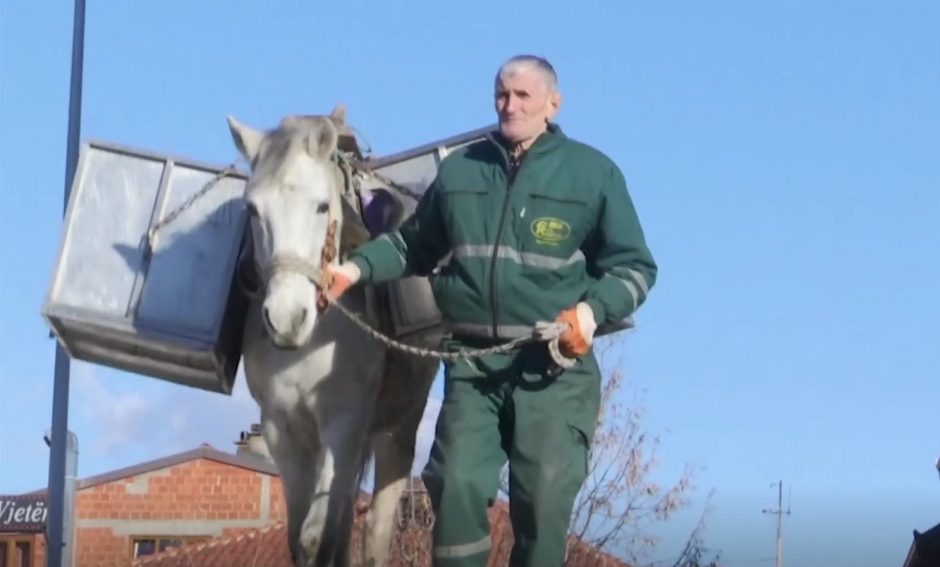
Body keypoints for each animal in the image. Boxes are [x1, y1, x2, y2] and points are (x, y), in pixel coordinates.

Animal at [226, 107, 438, 567]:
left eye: (322, 206)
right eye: (253, 210)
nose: (287, 319)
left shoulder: (343, 422)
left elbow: (316, 536)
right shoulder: (281, 430)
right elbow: (299, 538)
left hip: (396, 430)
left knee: (374, 528)